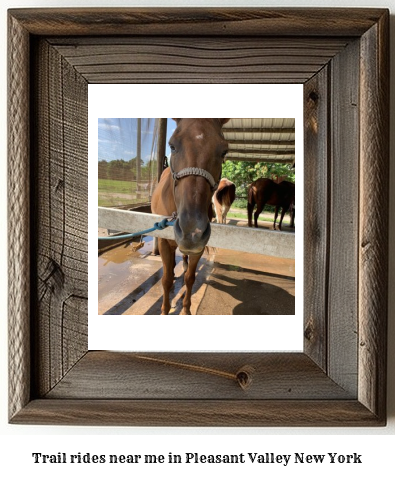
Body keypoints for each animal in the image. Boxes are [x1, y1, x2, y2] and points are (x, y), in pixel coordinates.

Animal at [152, 118, 232, 316]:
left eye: (224, 151)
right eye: (172, 146)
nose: (192, 232)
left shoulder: (198, 247)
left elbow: (190, 278)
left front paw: (186, 309)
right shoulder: (164, 242)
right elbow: (166, 279)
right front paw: (165, 310)